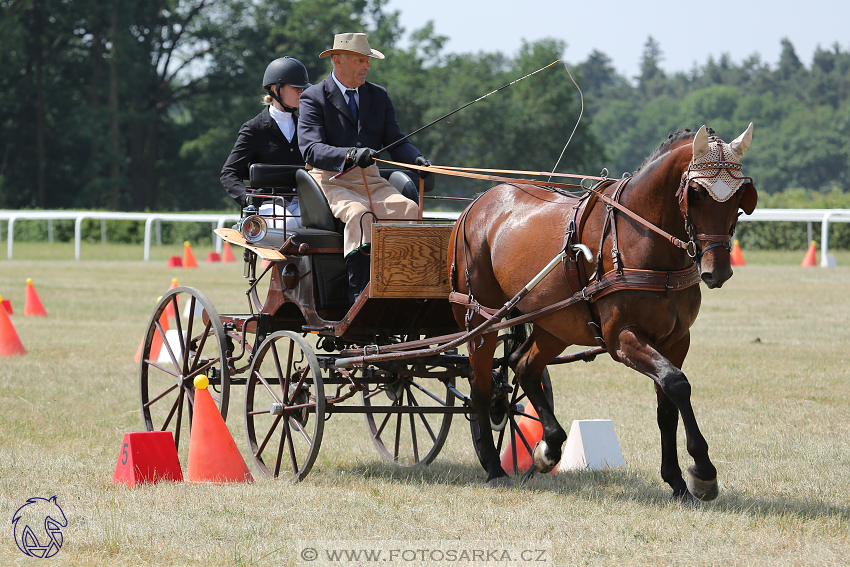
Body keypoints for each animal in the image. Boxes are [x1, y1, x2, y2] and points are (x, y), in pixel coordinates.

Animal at [448, 122, 760, 500]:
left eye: (740, 197)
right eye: (697, 193)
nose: (718, 271)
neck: (643, 239)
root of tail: (477, 204)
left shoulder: (676, 340)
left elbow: (667, 406)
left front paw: (676, 480)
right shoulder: (621, 337)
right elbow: (677, 383)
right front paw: (702, 471)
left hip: (555, 324)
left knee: (523, 365)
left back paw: (550, 446)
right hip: (480, 320)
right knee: (481, 386)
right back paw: (494, 468)